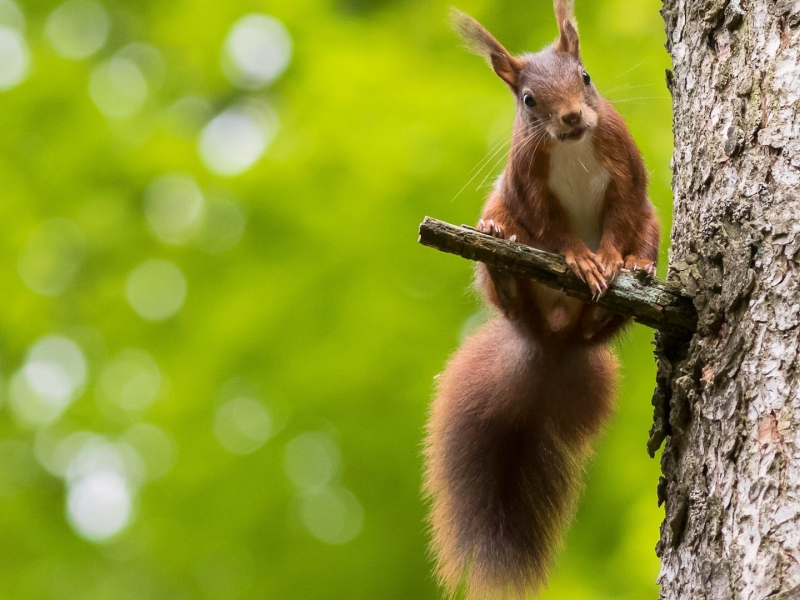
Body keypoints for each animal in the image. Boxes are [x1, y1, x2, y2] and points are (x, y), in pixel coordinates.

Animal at [422, 1, 660, 600]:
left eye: (586, 77)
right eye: (528, 101)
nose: (573, 118)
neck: (572, 148)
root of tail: (552, 336)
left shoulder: (625, 170)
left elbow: (621, 215)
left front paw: (613, 261)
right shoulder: (527, 186)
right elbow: (553, 230)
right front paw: (580, 259)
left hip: (653, 227)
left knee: (638, 241)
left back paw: (634, 276)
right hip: (499, 221)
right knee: (506, 265)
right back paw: (502, 257)